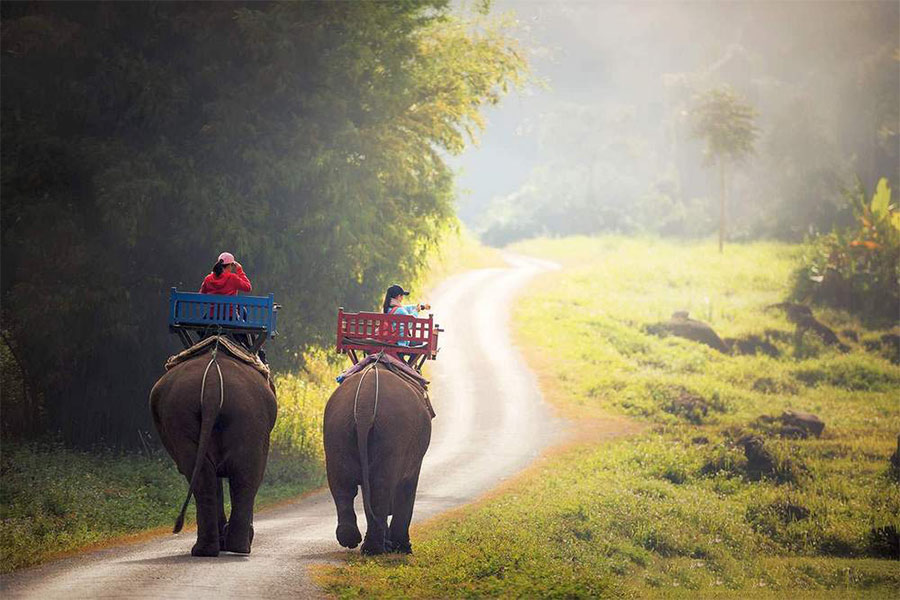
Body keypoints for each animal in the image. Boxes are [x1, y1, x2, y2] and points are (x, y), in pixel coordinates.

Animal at [149, 350, 276, 556]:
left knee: (212, 475)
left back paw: (214, 548)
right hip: (245, 414)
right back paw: (234, 547)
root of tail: (212, 385)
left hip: (191, 414)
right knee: (242, 475)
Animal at [324, 364, 432, 556]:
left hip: (337, 431)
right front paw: (402, 548)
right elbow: (407, 487)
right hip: (393, 434)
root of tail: (364, 407)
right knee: (380, 486)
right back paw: (376, 548)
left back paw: (352, 539)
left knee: (342, 485)